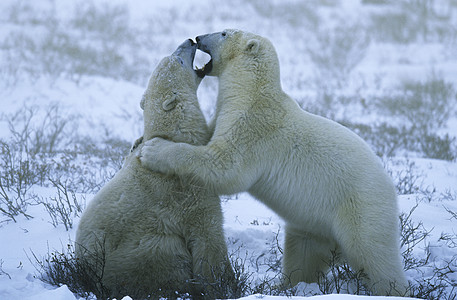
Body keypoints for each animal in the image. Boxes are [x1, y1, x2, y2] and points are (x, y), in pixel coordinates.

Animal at [75, 39, 232, 300]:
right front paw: (223, 284)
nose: (190, 41)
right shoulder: (187, 192)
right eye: (178, 59)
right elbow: (208, 237)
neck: (173, 137)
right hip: (143, 252)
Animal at [138, 29, 406, 296]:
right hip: (315, 223)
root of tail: (391, 188)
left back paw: (393, 289)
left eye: (223, 32)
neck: (251, 92)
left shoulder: (252, 126)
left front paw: (152, 150)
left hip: (361, 208)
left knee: (373, 254)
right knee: (303, 253)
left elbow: (225, 166)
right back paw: (282, 285)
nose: (198, 37)